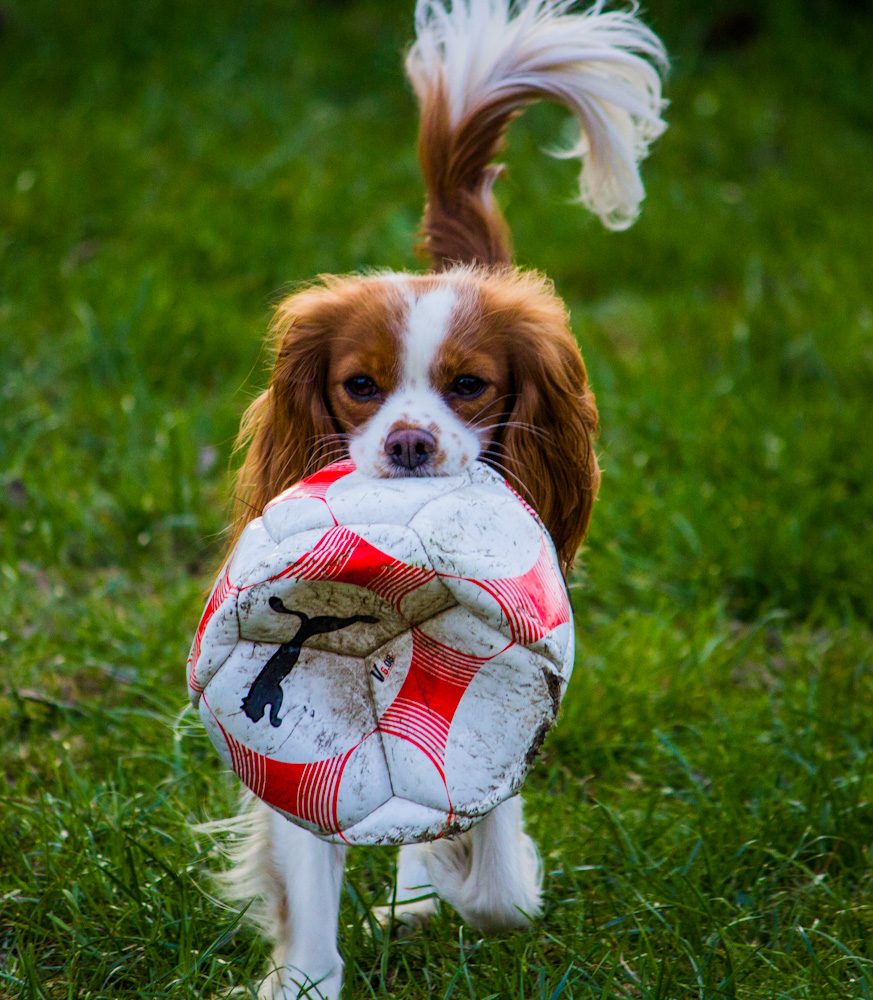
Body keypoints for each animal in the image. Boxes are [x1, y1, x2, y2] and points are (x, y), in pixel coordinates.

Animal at [215, 1, 664, 1000]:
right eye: (359, 386)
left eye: (467, 387)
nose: (410, 445)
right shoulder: (298, 768)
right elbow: (309, 886)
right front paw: (310, 971)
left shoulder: (515, 693)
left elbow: (498, 882)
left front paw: (451, 885)